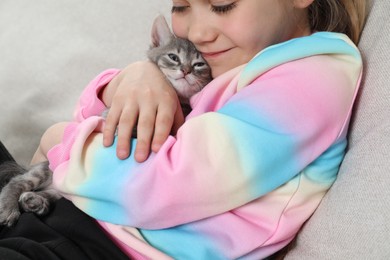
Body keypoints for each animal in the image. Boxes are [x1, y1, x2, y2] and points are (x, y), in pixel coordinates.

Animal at [0, 15, 210, 225]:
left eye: (199, 65)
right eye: (173, 57)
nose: (186, 70)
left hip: (59, 189)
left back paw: (35, 202)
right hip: (43, 171)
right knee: (17, 182)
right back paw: (10, 206)